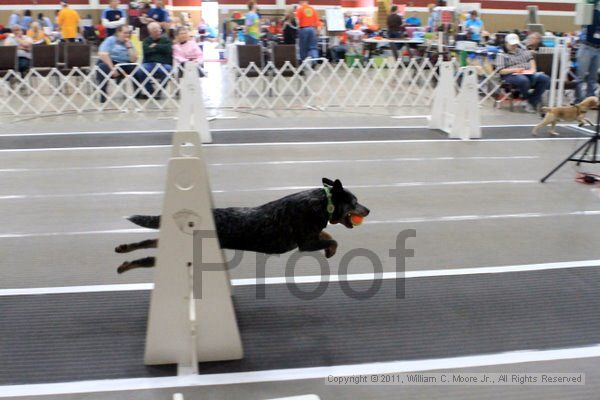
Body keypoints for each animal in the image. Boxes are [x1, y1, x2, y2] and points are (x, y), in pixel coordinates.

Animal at [115, 180, 368, 274]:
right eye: (355, 202)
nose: (368, 210)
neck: (322, 202)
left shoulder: (312, 235)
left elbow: (327, 233)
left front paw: (330, 250)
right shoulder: (305, 243)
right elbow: (333, 238)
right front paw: (331, 249)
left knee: (149, 241)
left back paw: (124, 250)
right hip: (186, 254)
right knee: (149, 258)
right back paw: (126, 265)